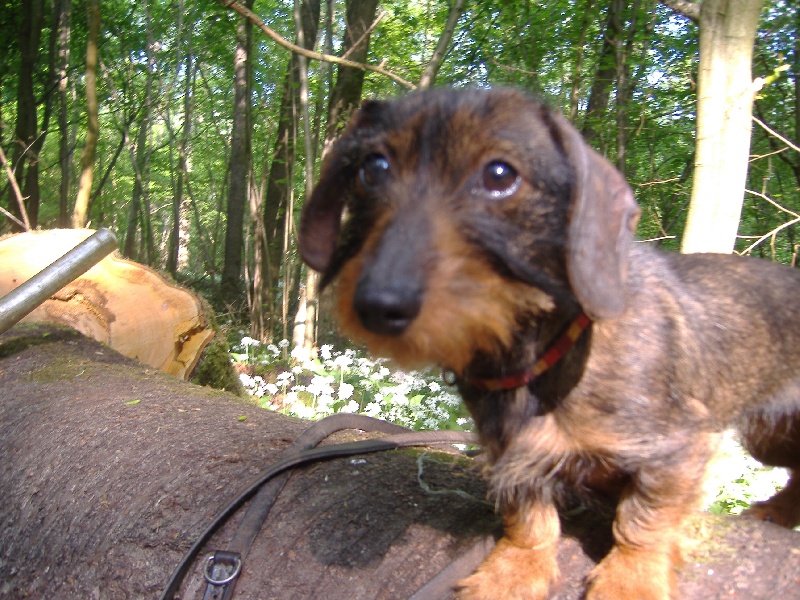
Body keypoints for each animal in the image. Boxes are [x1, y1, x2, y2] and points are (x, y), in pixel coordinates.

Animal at [298, 86, 800, 596]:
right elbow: (529, 515)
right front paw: (515, 567)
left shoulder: (678, 448)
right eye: (372, 168)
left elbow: (644, 518)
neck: (540, 355)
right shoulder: (513, 455)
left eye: (500, 174)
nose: (378, 304)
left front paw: (632, 576)